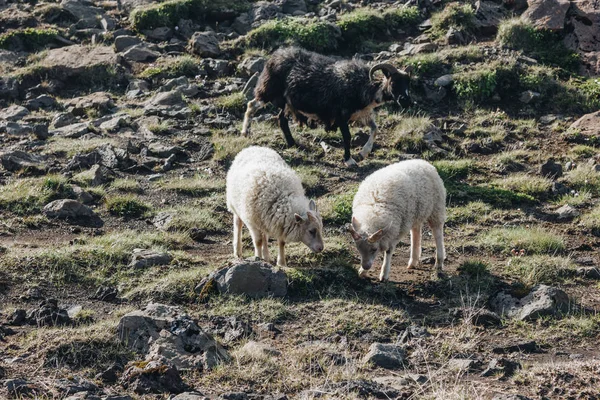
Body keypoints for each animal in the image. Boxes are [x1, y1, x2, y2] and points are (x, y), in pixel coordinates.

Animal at [240, 46, 412, 166]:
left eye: (408, 83)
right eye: (394, 82)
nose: (407, 101)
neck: (364, 86)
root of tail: (276, 55)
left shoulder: (361, 114)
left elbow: (375, 129)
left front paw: (363, 153)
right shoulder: (340, 115)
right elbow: (347, 137)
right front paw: (349, 160)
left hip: (288, 102)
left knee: (281, 119)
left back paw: (292, 143)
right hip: (268, 90)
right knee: (251, 105)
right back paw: (245, 132)